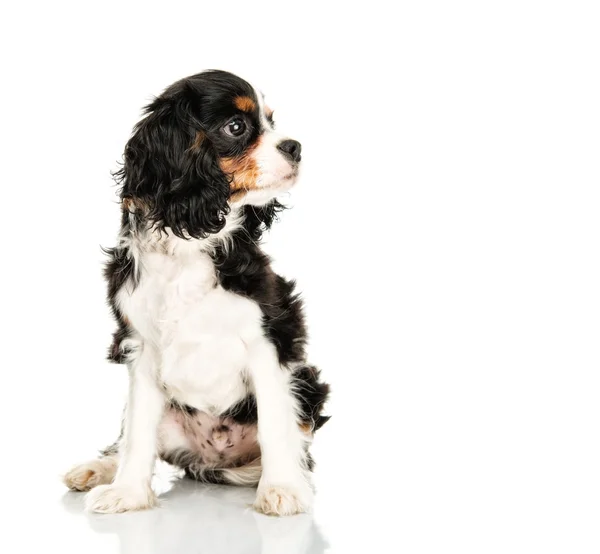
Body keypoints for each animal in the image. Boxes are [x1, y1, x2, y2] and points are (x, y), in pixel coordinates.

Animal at [63, 69, 330, 512]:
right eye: (236, 127)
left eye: (272, 121)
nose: (295, 146)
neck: (189, 242)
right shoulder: (140, 347)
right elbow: (137, 433)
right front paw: (128, 492)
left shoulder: (269, 341)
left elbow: (276, 422)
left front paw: (282, 489)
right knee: (128, 436)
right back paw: (98, 469)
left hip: (308, 382)